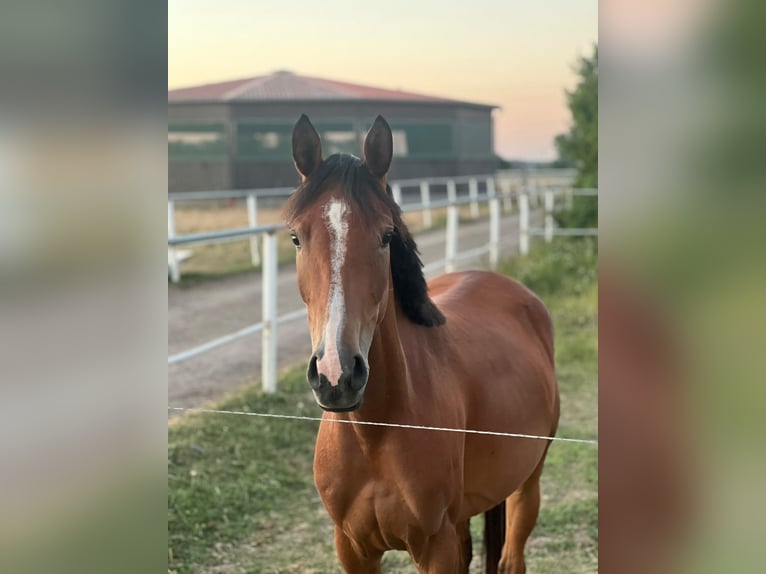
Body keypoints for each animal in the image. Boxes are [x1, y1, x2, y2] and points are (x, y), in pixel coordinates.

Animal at [284, 114, 559, 574]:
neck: (375, 432)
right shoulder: (352, 548)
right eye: (295, 238)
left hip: (528, 483)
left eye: (385, 236)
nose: (337, 375)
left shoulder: (435, 547)